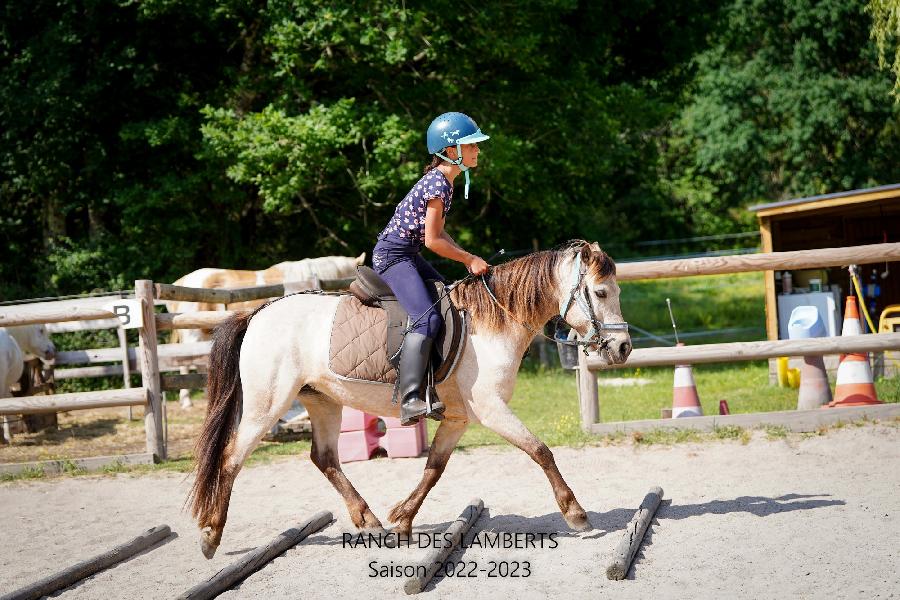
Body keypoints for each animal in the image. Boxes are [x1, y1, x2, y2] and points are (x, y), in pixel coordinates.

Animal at [186, 240, 628, 556]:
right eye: (601, 292)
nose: (623, 348)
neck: (493, 321)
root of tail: (258, 312)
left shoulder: (458, 419)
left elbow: (434, 469)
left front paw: (401, 520)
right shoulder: (491, 409)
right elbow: (541, 451)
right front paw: (575, 513)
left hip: (323, 401)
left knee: (325, 458)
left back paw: (368, 520)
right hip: (266, 406)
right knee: (231, 459)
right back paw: (210, 535)